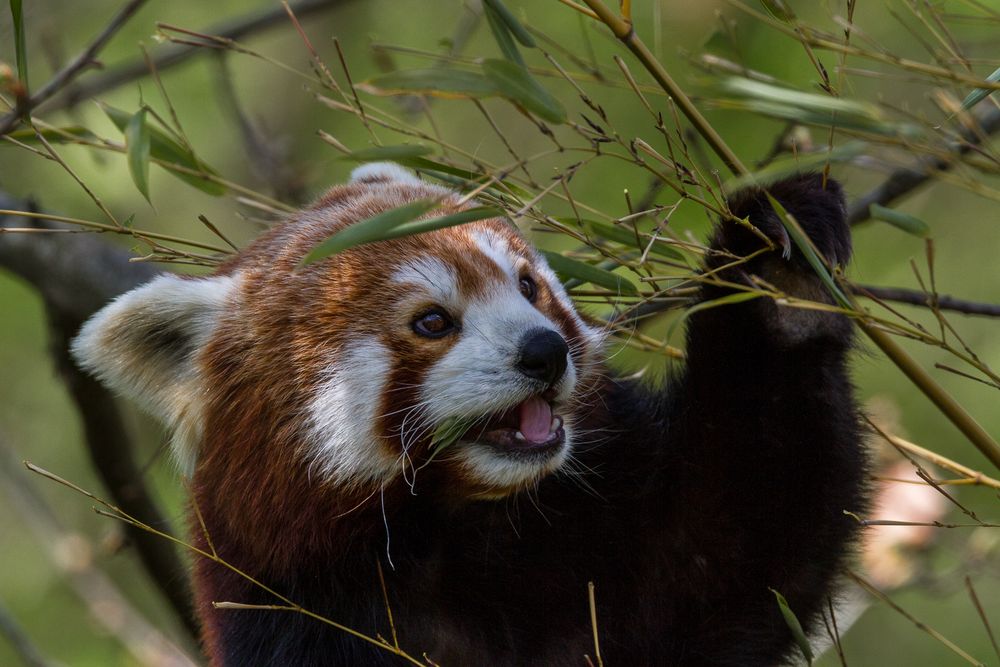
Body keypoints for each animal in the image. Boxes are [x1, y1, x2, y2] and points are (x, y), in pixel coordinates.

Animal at [70, 163, 868, 667]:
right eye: (432, 321)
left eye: (529, 286)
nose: (545, 351)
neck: (463, 533)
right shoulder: (304, 616)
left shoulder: (613, 560)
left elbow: (740, 544)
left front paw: (777, 264)